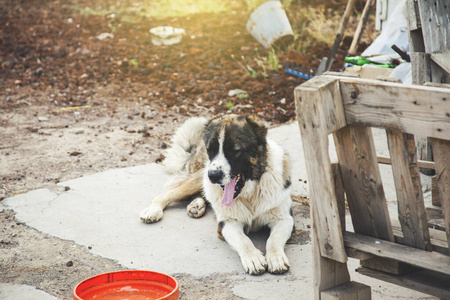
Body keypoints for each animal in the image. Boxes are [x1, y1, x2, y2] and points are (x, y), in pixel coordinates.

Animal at [142, 115, 296, 274]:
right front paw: (253, 258)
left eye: (235, 151)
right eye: (211, 150)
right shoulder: (228, 223)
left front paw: (276, 258)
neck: (250, 195)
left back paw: (196, 205)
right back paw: (154, 210)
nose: (213, 175)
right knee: (168, 194)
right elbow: (244, 240)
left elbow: (273, 239)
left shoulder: (284, 219)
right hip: (200, 177)